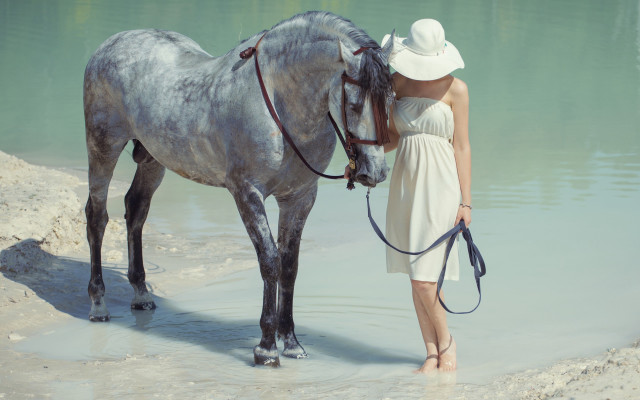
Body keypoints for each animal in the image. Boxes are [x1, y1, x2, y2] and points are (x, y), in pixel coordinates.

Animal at [83, 11, 393, 367]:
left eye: (391, 101)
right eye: (354, 104)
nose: (376, 172)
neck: (279, 104)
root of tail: (111, 44)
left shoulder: (299, 197)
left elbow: (289, 265)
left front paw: (291, 343)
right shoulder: (247, 193)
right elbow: (270, 261)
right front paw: (266, 348)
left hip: (153, 160)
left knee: (135, 211)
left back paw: (141, 293)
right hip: (103, 148)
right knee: (96, 218)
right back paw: (98, 304)